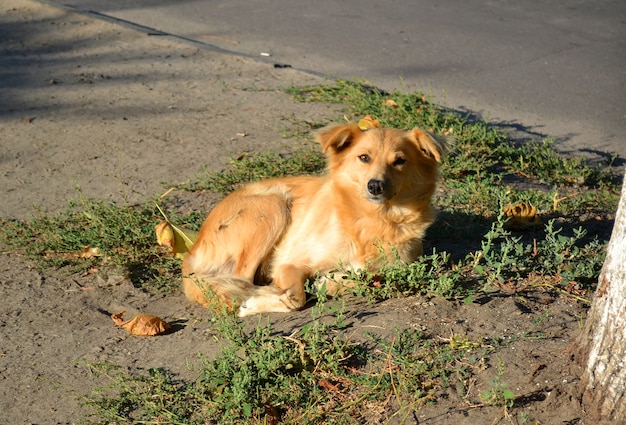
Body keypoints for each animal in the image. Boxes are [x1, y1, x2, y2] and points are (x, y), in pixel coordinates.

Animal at [178, 121, 446, 314]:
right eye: (364, 157)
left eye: (400, 161)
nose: (375, 186)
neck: (371, 219)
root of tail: (192, 251)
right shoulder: (289, 263)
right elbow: (296, 298)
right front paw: (261, 301)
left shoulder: (398, 265)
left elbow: (364, 275)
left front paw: (330, 281)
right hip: (273, 206)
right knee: (241, 279)